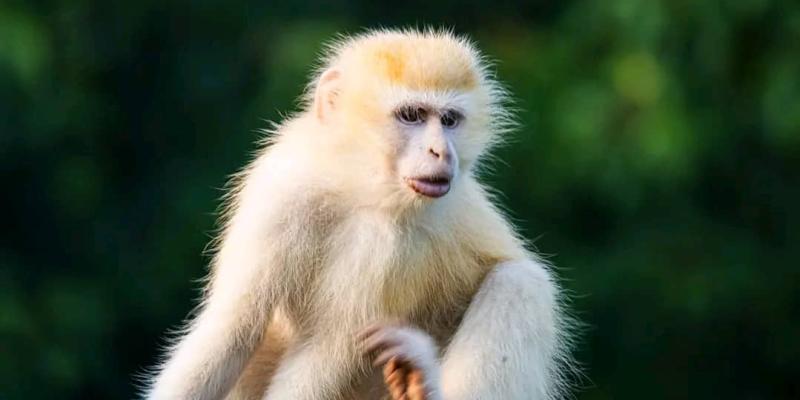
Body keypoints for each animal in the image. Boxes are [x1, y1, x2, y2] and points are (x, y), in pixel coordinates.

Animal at [144, 28, 575, 400]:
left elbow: (332, 347)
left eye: (449, 121)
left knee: (521, 282)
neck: (355, 188)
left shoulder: (385, 244)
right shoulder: (281, 189)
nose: (441, 152)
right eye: (412, 115)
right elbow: (234, 328)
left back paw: (423, 388)